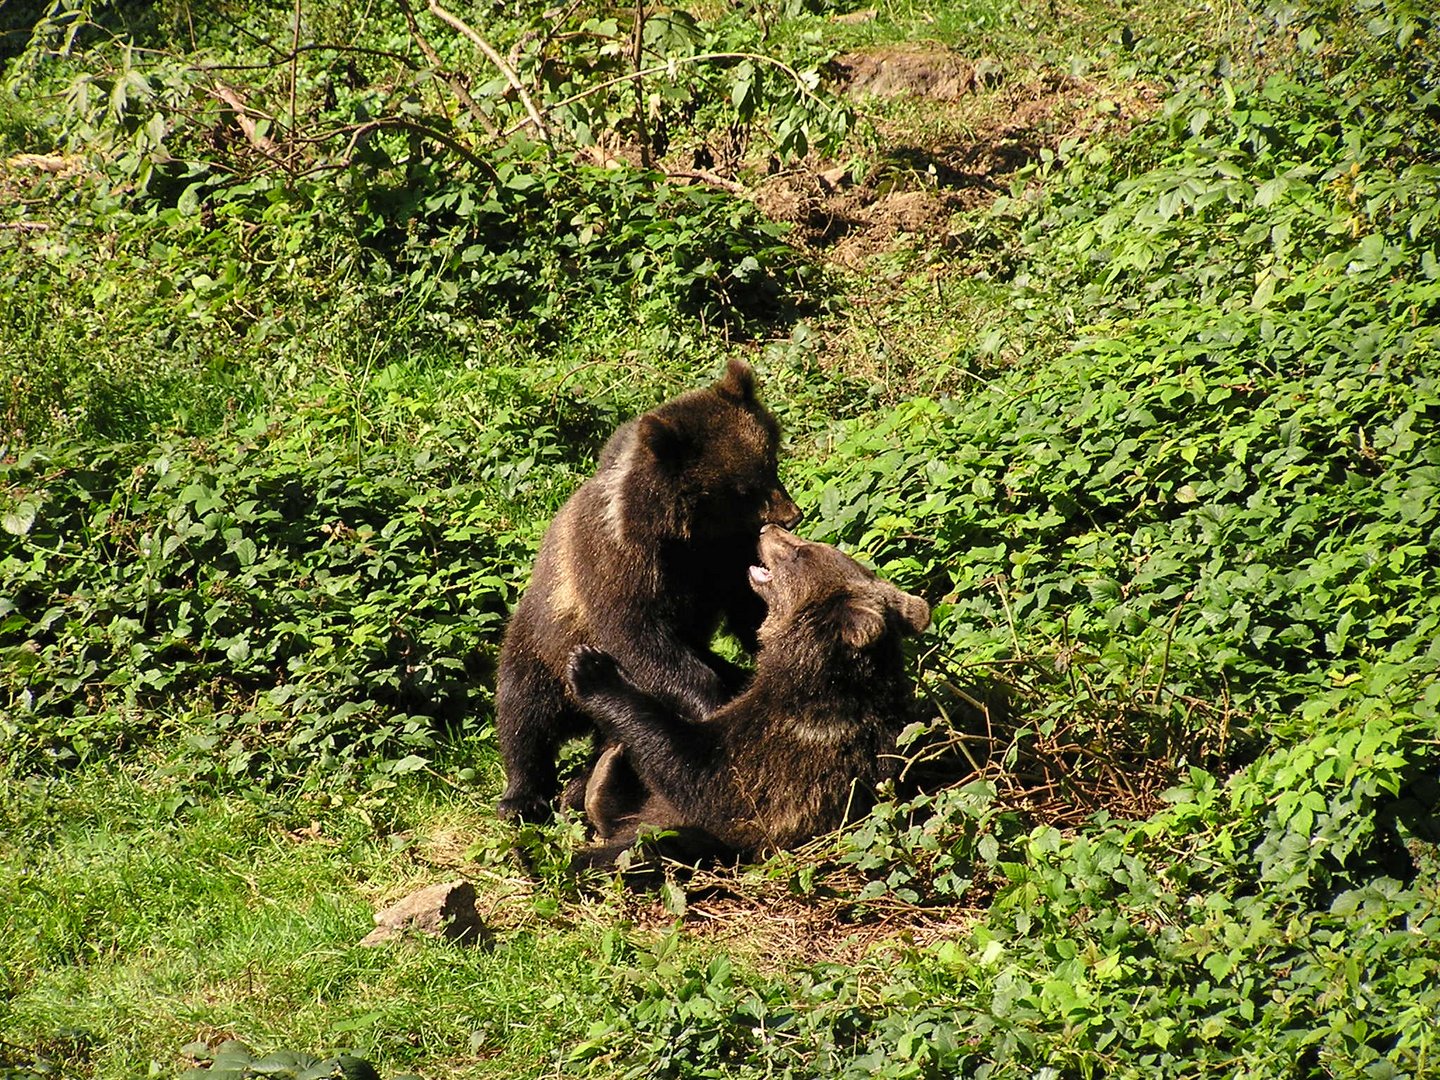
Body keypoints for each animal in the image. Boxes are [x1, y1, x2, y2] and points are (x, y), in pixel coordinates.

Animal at [498, 360, 806, 823]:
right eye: (742, 488)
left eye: (770, 461)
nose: (791, 516)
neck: (684, 535)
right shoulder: (620, 564)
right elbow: (642, 639)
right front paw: (709, 701)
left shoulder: (723, 559)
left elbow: (752, 609)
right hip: (541, 641)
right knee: (524, 710)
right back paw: (523, 794)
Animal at [561, 521, 933, 869]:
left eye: (802, 552)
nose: (767, 528)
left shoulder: (778, 752)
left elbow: (695, 768)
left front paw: (591, 668)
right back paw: (604, 774)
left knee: (664, 842)